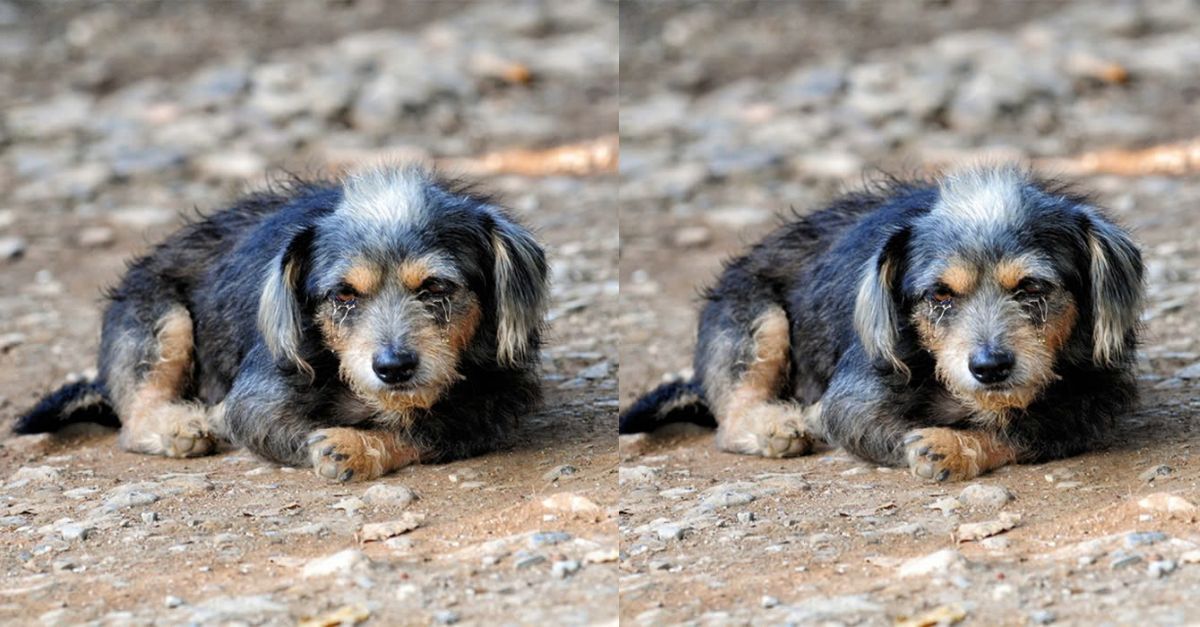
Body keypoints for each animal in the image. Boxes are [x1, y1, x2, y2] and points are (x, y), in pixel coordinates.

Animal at [15, 163, 549, 480]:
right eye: (343, 295)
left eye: (436, 288)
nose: (393, 367)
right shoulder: (255, 400)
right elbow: (265, 421)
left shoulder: (499, 401)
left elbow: (427, 428)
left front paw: (355, 446)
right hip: (160, 320)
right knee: (135, 415)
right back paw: (181, 425)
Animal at [619, 163, 1142, 480]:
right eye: (939, 295)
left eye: (1032, 288)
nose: (989, 367)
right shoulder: (853, 399)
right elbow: (858, 420)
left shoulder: (1092, 404)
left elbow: (1020, 429)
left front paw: (952, 446)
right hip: (756, 320)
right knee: (731, 418)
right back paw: (777, 425)